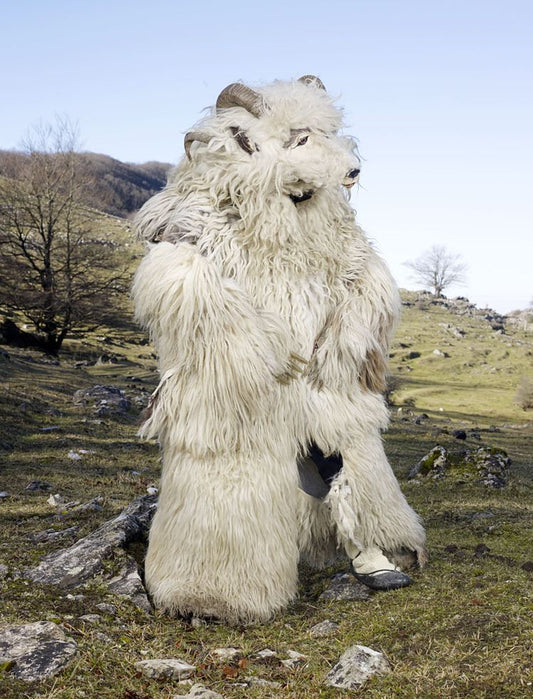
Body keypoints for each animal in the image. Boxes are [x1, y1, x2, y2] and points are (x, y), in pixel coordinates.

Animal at [132, 75, 426, 624]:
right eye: (299, 139)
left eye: (327, 132)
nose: (354, 170)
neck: (287, 209)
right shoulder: (187, 254)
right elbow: (198, 285)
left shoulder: (351, 264)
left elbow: (363, 283)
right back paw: (212, 595)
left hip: (326, 416)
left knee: (342, 464)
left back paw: (374, 554)